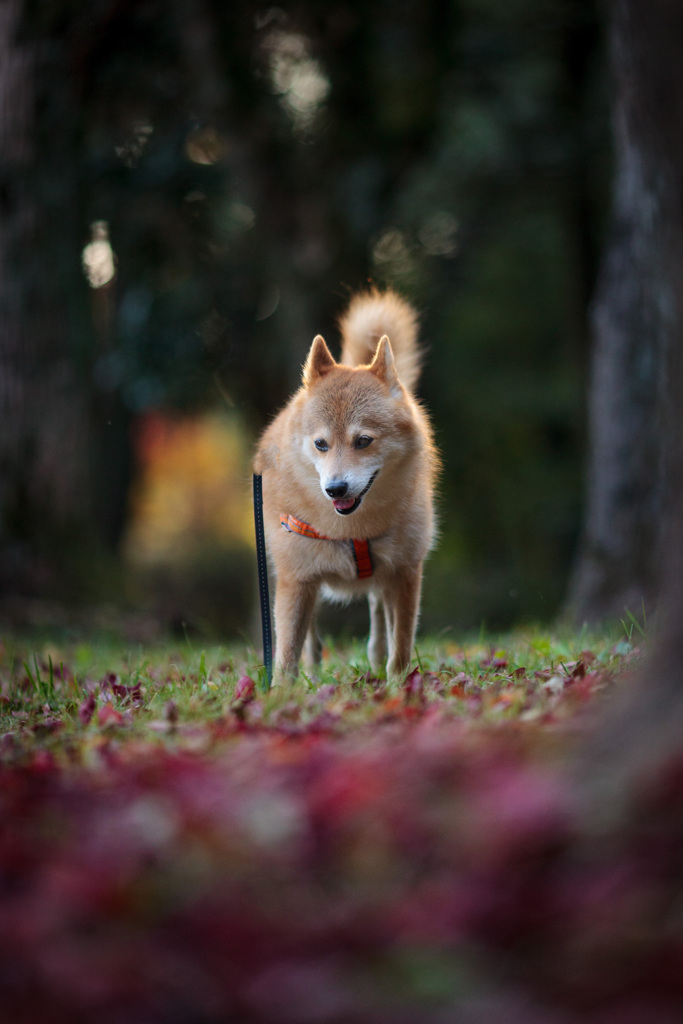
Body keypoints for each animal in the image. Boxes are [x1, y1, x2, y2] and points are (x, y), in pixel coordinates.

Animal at [254, 288, 438, 679]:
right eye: (321, 444)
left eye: (363, 441)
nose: (335, 489)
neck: (352, 529)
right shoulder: (296, 580)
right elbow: (286, 654)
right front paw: (280, 691)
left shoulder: (405, 574)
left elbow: (401, 646)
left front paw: (399, 686)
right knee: (311, 637)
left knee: (379, 619)